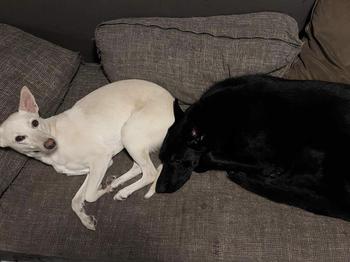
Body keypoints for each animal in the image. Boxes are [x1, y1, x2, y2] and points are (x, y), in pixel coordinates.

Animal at [0, 81, 174, 230]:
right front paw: (86, 219)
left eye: (35, 123)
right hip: (133, 142)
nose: (50, 143)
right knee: (139, 168)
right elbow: (76, 201)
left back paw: (123, 191)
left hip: (129, 134)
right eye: (19, 138)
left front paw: (105, 189)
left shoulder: (102, 159)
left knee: (150, 173)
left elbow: (89, 195)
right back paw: (117, 182)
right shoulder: (92, 169)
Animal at [157, 74, 350, 220]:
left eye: (177, 160)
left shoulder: (264, 158)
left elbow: (208, 156)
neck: (218, 116)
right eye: (161, 159)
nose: (158, 189)